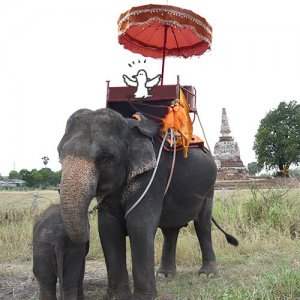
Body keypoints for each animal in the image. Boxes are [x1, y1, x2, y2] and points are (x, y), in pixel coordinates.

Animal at [57, 108, 238, 300]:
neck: (128, 127)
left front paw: (142, 297)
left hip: (209, 189)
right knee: (170, 230)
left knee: (202, 225)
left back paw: (207, 274)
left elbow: (139, 225)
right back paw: (165, 275)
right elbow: (108, 229)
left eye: (104, 157)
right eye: (59, 157)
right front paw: (117, 297)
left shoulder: (154, 175)